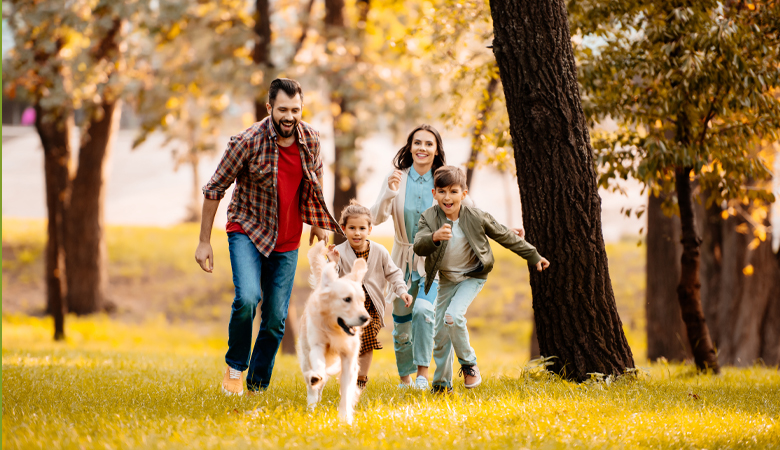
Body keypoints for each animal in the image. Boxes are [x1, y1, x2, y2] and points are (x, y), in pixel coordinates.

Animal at [298, 241, 372, 424]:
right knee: (311, 382)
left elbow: (346, 391)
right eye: (346, 299)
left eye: (362, 300)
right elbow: (317, 367)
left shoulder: (349, 357)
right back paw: (312, 404)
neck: (334, 330)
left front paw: (345, 418)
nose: (365, 318)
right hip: (305, 354)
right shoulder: (317, 345)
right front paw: (316, 378)